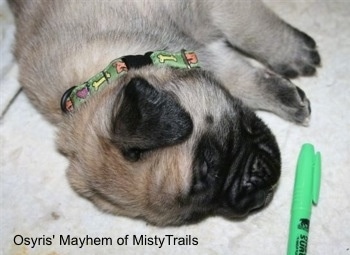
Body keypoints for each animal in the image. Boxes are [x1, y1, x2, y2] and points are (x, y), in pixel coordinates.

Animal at [8, 0, 320, 226]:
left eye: (209, 161)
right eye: (196, 215)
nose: (255, 197)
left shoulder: (213, 9)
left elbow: (253, 30)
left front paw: (292, 53)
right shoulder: (203, 53)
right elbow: (239, 77)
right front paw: (284, 95)